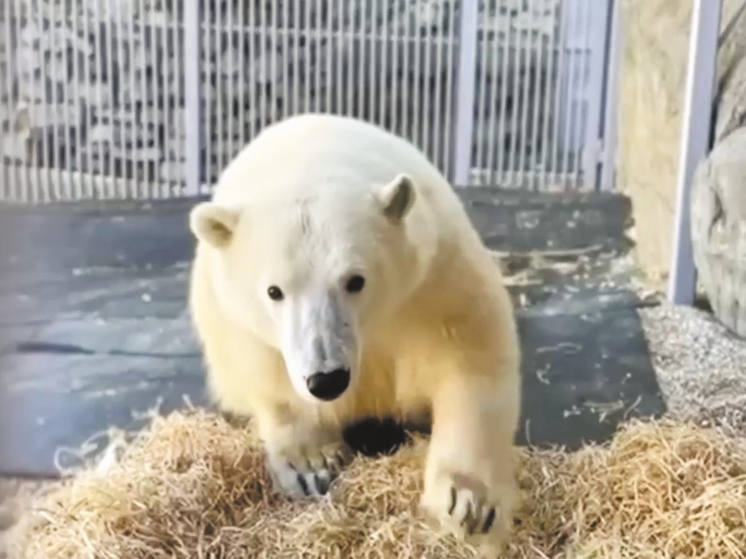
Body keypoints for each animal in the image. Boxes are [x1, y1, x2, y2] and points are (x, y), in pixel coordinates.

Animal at [189, 112, 520, 548]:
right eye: (274, 291)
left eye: (355, 280)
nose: (327, 379)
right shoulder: (237, 320)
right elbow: (270, 380)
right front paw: (311, 465)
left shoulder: (432, 281)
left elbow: (470, 362)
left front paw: (467, 502)